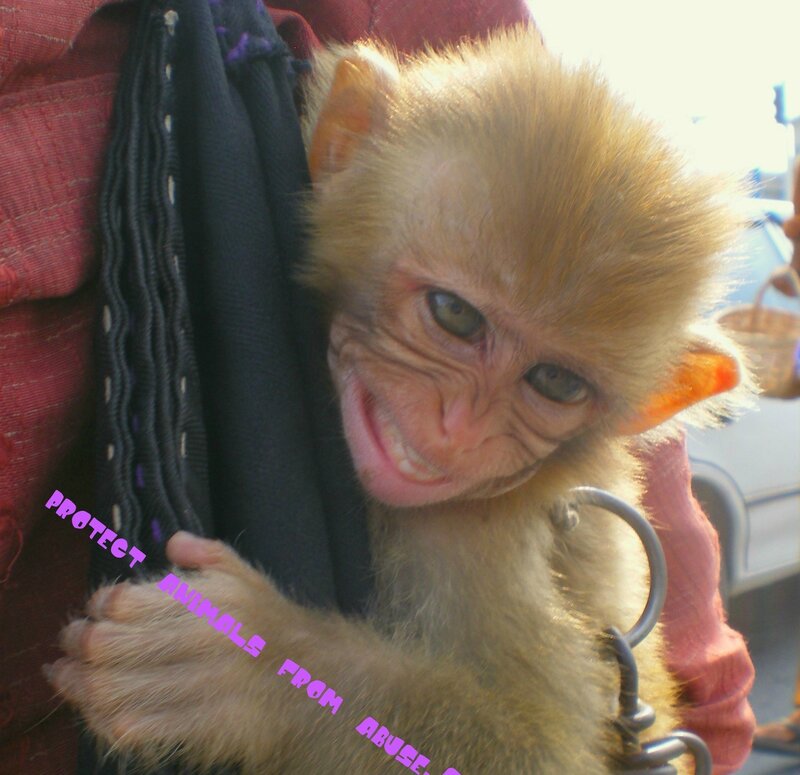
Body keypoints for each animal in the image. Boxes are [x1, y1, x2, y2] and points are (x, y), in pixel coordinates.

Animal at [47, 25, 749, 775]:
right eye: (455, 314)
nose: (458, 429)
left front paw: (259, 668)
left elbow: (543, 746)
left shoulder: (474, 540)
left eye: (557, 382)